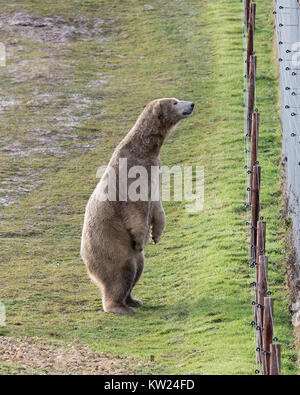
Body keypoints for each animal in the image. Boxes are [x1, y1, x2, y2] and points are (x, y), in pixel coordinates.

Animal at [81, 99, 195, 316]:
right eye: (175, 102)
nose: (192, 104)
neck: (143, 149)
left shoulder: (155, 169)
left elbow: (157, 205)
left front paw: (156, 234)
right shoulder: (133, 174)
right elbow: (136, 209)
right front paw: (142, 240)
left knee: (139, 267)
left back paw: (133, 300)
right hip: (109, 246)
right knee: (122, 272)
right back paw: (119, 306)